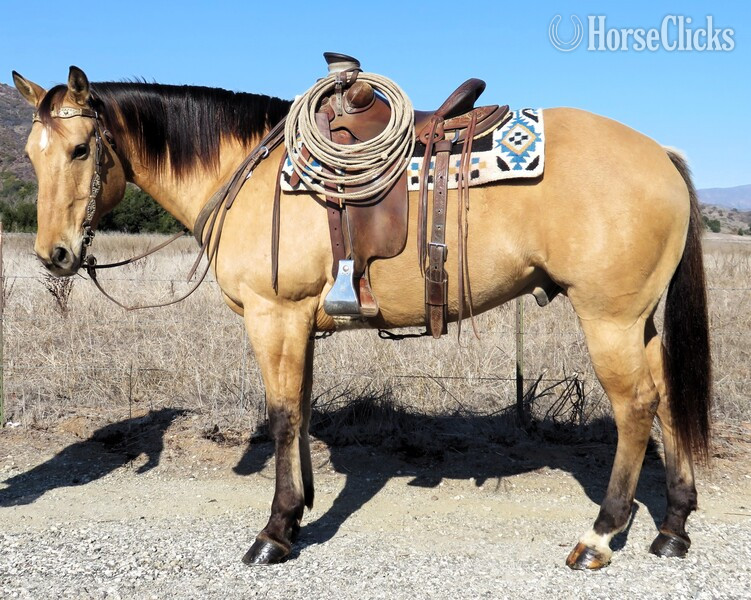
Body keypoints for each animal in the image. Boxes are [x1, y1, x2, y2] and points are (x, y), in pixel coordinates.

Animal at [11, 66, 711, 569]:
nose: (55, 254)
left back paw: (601, 535)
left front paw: (274, 531)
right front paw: (300, 512)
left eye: (80, 150)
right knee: (669, 397)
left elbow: (282, 416)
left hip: (609, 318)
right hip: (640, 321)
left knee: (636, 408)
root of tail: (660, 154)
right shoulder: (299, 323)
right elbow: (302, 410)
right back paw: (672, 527)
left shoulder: (273, 317)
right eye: (31, 152)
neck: (249, 170)